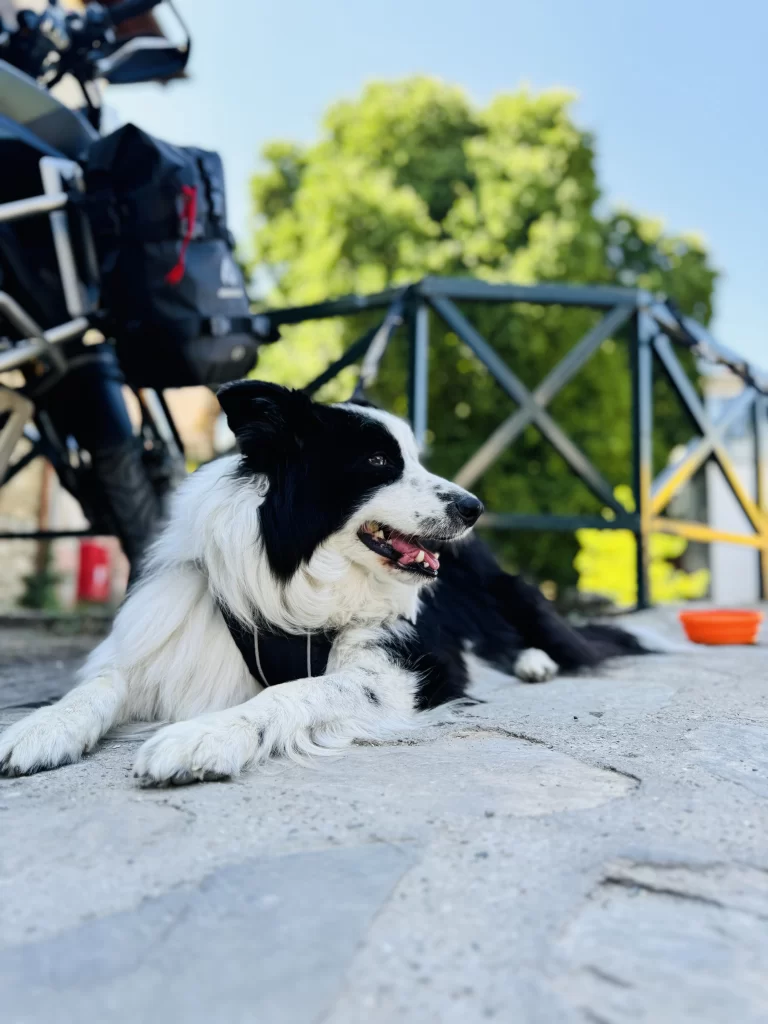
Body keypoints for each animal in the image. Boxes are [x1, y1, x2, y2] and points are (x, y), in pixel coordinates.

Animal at [0, 382, 651, 782]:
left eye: (415, 459)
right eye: (379, 463)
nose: (474, 508)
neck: (297, 573)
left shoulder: (392, 671)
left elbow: (290, 693)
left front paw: (207, 735)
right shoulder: (159, 645)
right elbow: (96, 687)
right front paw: (40, 727)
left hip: (506, 593)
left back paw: (536, 661)